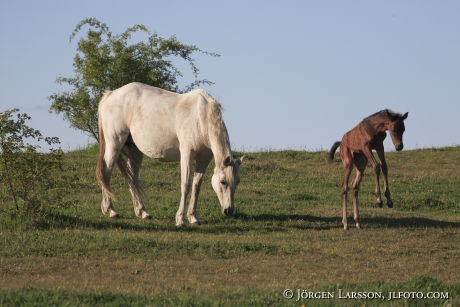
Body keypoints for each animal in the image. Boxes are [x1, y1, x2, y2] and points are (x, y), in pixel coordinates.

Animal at [96, 82, 244, 226]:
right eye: (223, 182)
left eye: (237, 181)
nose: (229, 210)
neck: (201, 116)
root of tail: (110, 94)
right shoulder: (186, 154)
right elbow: (185, 185)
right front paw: (180, 219)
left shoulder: (204, 159)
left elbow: (196, 187)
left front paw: (193, 217)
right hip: (114, 144)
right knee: (106, 173)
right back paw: (110, 210)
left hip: (134, 150)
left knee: (132, 177)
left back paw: (142, 212)